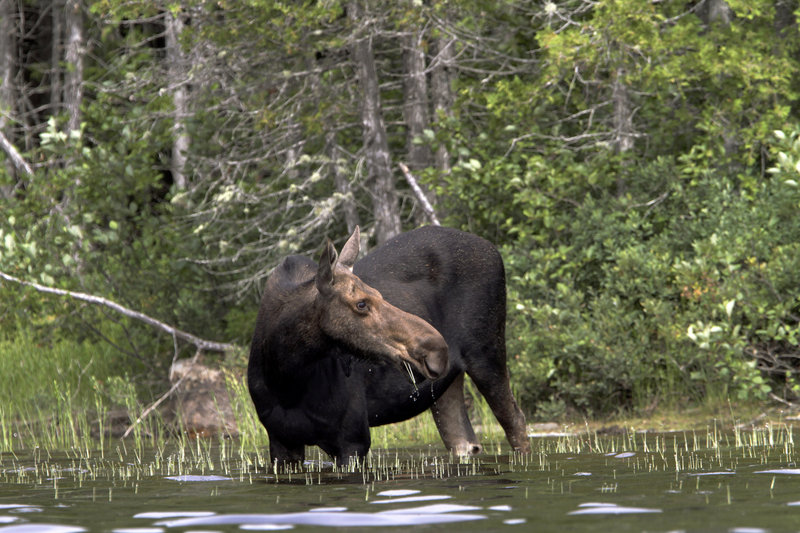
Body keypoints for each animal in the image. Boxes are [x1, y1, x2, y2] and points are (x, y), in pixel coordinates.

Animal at [247, 222, 528, 464]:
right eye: (361, 303)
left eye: (379, 294)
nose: (438, 348)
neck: (286, 377)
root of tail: (493, 249)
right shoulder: (281, 442)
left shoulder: (353, 438)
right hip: (447, 386)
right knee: (465, 442)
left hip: (486, 354)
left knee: (517, 423)